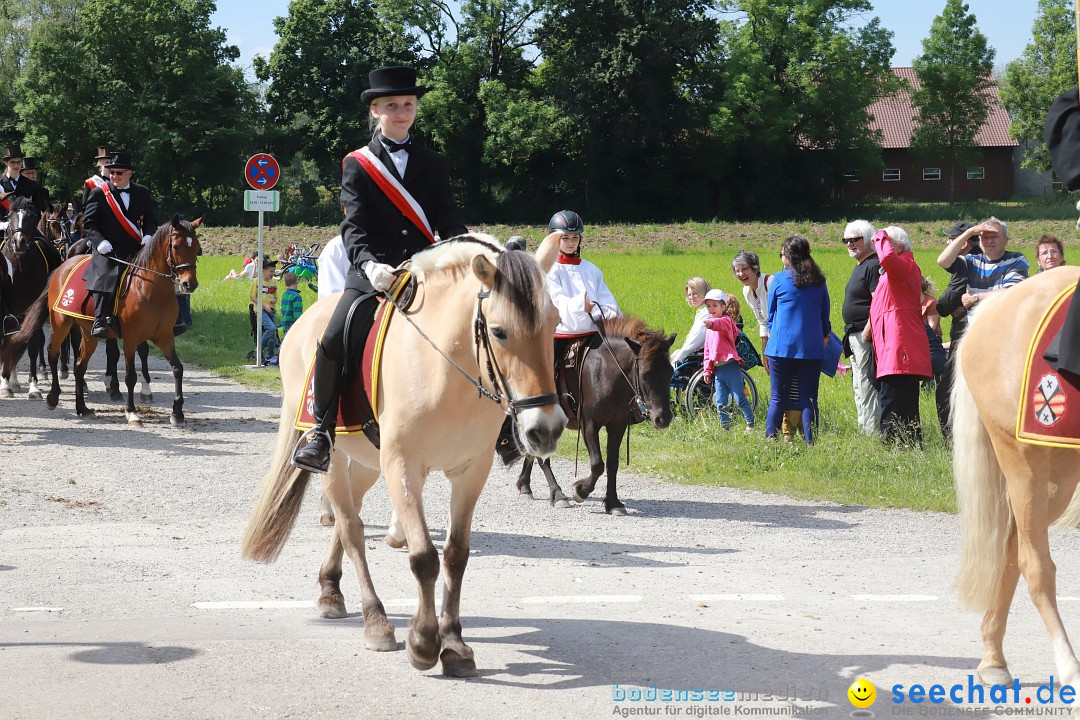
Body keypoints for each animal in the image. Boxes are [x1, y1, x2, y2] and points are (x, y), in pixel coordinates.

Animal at [2, 213, 200, 425]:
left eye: (196, 247)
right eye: (176, 246)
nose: (189, 284)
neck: (151, 290)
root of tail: (62, 266)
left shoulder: (164, 337)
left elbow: (178, 368)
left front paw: (177, 413)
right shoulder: (130, 339)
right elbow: (130, 376)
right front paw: (132, 412)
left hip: (89, 333)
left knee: (79, 366)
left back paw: (82, 408)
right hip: (61, 322)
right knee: (52, 352)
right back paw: (52, 396)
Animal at [243, 234, 565, 677]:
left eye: (554, 325)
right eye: (499, 332)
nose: (546, 429)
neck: (448, 370)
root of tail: (303, 324)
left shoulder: (471, 472)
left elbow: (456, 556)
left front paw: (455, 643)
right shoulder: (403, 466)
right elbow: (424, 557)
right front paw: (425, 642)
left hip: (366, 462)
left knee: (353, 515)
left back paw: (330, 588)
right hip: (333, 457)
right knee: (350, 528)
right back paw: (375, 620)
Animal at [505, 317, 673, 515]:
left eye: (671, 372)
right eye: (645, 375)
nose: (663, 418)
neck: (605, 370)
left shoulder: (618, 425)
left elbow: (612, 464)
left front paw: (613, 503)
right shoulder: (589, 425)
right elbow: (597, 464)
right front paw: (580, 490)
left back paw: (525, 485)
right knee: (542, 456)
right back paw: (557, 494)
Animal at [954, 264, 1080, 690]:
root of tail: (993, 304)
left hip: (1058, 475)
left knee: (1012, 548)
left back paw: (993, 655)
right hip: (1023, 460)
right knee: (1033, 563)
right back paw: (1068, 667)